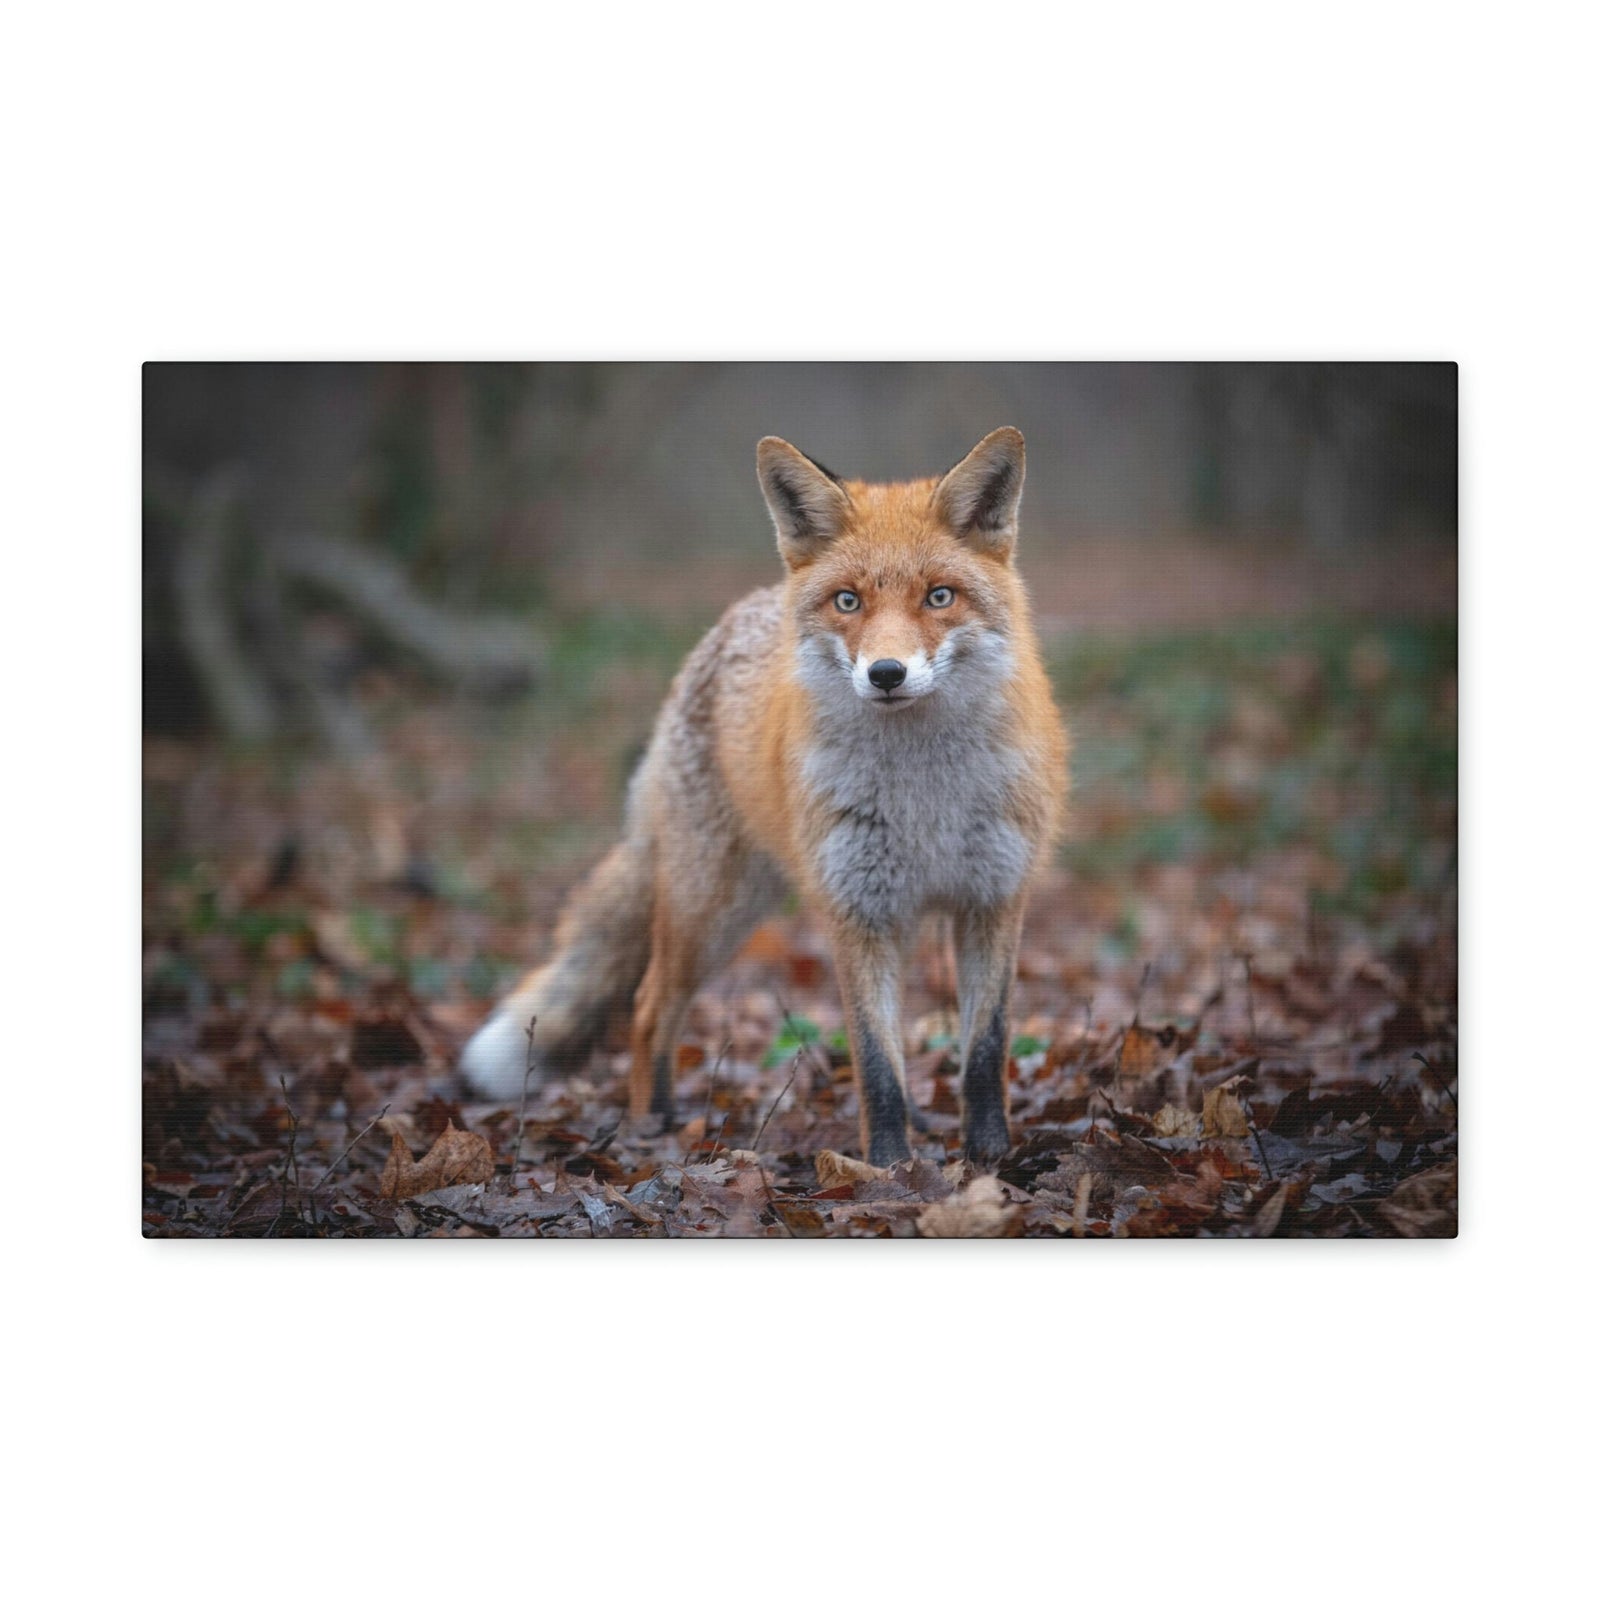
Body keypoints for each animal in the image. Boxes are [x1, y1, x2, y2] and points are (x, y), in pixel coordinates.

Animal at [459, 427, 1068, 1165]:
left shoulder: (993, 900)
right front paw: (889, 1168)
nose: (886, 673)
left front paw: (991, 1159)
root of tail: (734, 617)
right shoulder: (856, 911)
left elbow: (983, 1052)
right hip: (711, 912)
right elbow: (875, 1065)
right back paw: (652, 1126)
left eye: (939, 597)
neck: (923, 797)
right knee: (648, 1008)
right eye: (848, 601)